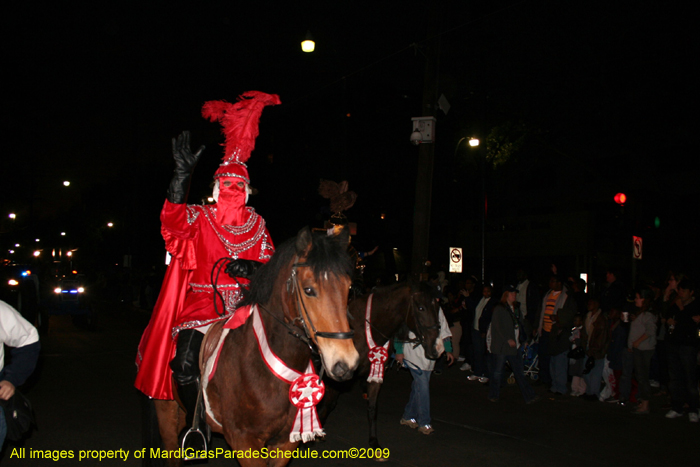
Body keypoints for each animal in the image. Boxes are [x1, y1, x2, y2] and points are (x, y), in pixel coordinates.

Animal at [150, 227, 358, 464]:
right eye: (308, 290)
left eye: (349, 288)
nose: (346, 363)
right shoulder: (244, 441)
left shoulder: (285, 443)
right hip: (167, 409)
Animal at [318, 284, 442, 458]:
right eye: (421, 308)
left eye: (437, 308)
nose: (436, 348)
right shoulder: (337, 377)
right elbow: (329, 403)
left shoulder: (376, 372)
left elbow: (372, 408)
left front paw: (374, 442)